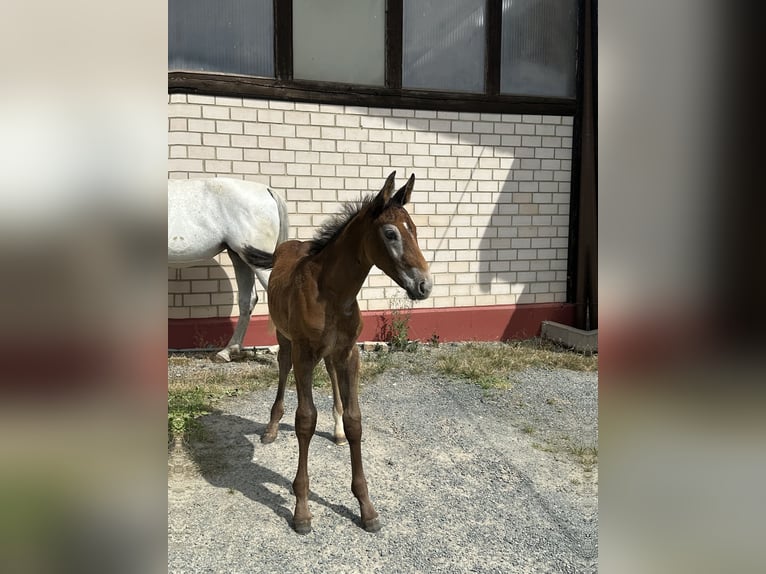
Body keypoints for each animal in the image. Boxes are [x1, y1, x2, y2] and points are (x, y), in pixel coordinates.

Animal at [244, 172, 432, 536]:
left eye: (415, 229)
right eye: (391, 233)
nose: (424, 286)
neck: (331, 292)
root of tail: (289, 244)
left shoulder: (349, 353)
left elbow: (355, 420)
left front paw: (366, 507)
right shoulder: (304, 354)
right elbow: (305, 420)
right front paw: (301, 509)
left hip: (331, 354)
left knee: (330, 373)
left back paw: (336, 433)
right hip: (285, 338)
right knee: (283, 367)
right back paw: (272, 427)